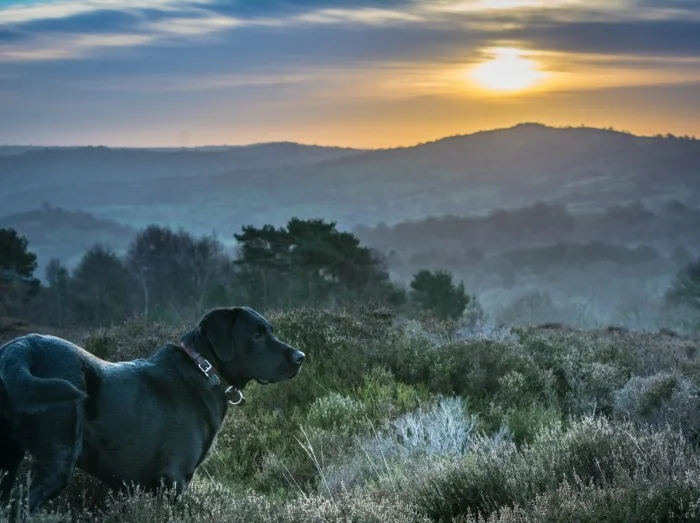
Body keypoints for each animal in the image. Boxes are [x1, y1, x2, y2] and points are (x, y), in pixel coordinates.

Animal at [0, 308, 306, 512]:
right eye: (256, 334)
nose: (301, 357)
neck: (202, 370)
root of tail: (19, 347)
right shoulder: (174, 479)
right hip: (58, 458)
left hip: (9, 462)